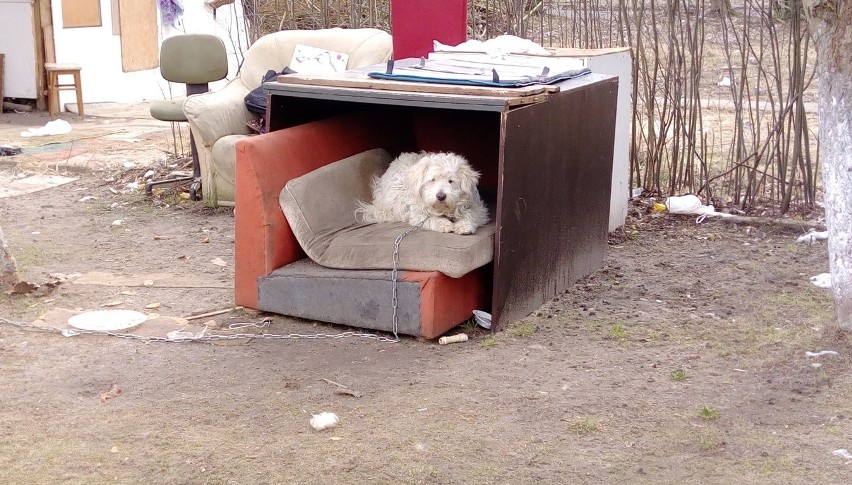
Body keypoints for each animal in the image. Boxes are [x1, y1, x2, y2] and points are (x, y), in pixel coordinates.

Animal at [356, 151, 490, 234]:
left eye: (450, 181)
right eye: (432, 180)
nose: (441, 196)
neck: (443, 209)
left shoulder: (478, 208)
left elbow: (470, 214)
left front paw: (463, 226)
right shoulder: (417, 214)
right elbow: (430, 218)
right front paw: (443, 224)